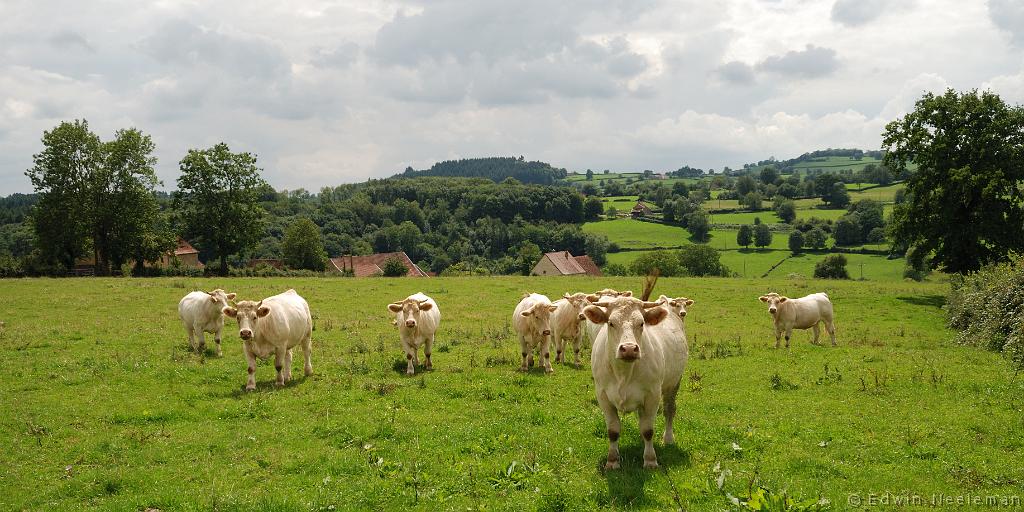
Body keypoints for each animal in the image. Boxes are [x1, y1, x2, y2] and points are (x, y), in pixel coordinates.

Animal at [585, 296, 688, 468]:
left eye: (641, 323)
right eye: (611, 323)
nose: (628, 349)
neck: (623, 373)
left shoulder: (653, 395)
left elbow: (648, 430)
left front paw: (650, 460)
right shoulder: (603, 395)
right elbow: (613, 430)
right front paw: (612, 461)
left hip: (673, 383)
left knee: (669, 410)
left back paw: (668, 438)